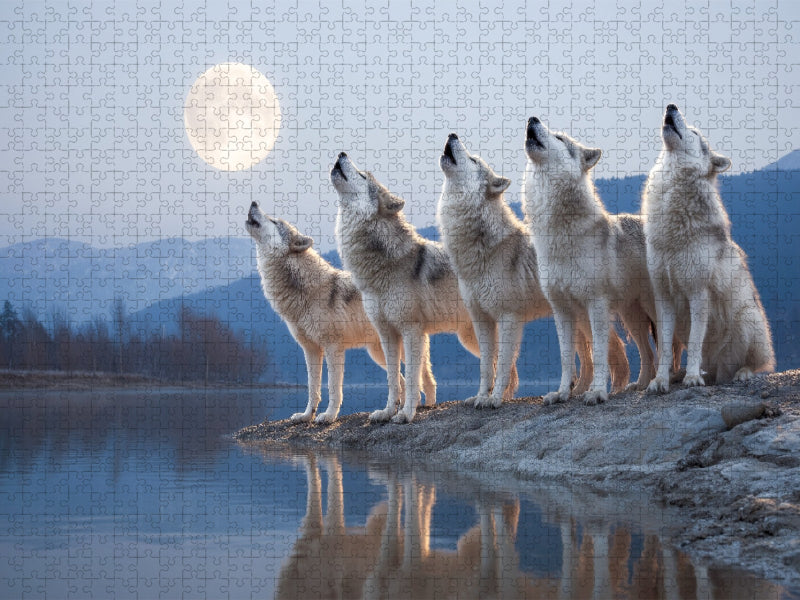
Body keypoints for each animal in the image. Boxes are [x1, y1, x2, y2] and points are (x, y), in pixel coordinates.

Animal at [246, 202, 426, 424]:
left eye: (273, 221)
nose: (254, 203)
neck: (307, 291)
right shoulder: (311, 349)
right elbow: (312, 387)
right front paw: (307, 415)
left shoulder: (333, 347)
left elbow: (333, 388)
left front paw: (329, 416)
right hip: (379, 353)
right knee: (403, 380)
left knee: (423, 378)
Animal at [331, 152, 488, 424]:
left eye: (362, 175)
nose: (342, 153)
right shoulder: (387, 334)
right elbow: (394, 380)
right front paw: (387, 412)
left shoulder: (411, 330)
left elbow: (413, 378)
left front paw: (406, 414)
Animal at [437, 133, 631, 408]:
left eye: (473, 160)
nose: (452, 135)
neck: (479, 252)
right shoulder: (481, 320)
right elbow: (486, 366)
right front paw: (480, 396)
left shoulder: (509, 318)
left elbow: (503, 365)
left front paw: (495, 399)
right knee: (588, 360)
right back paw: (576, 391)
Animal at [523, 117, 662, 405]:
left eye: (560, 138)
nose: (532, 119)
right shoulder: (562, 311)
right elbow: (567, 359)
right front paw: (562, 393)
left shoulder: (596, 306)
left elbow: (599, 354)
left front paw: (597, 392)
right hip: (632, 316)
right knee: (648, 353)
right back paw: (641, 384)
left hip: (652, 308)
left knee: (668, 343)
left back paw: (668, 379)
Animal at [642, 104, 775, 392]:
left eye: (694, 132)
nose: (671, 106)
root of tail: (717, 371)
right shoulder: (664, 297)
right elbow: (665, 349)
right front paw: (660, 380)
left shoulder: (698, 293)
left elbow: (694, 342)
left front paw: (692, 378)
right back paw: (684, 375)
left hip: (748, 319)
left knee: (756, 364)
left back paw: (738, 373)